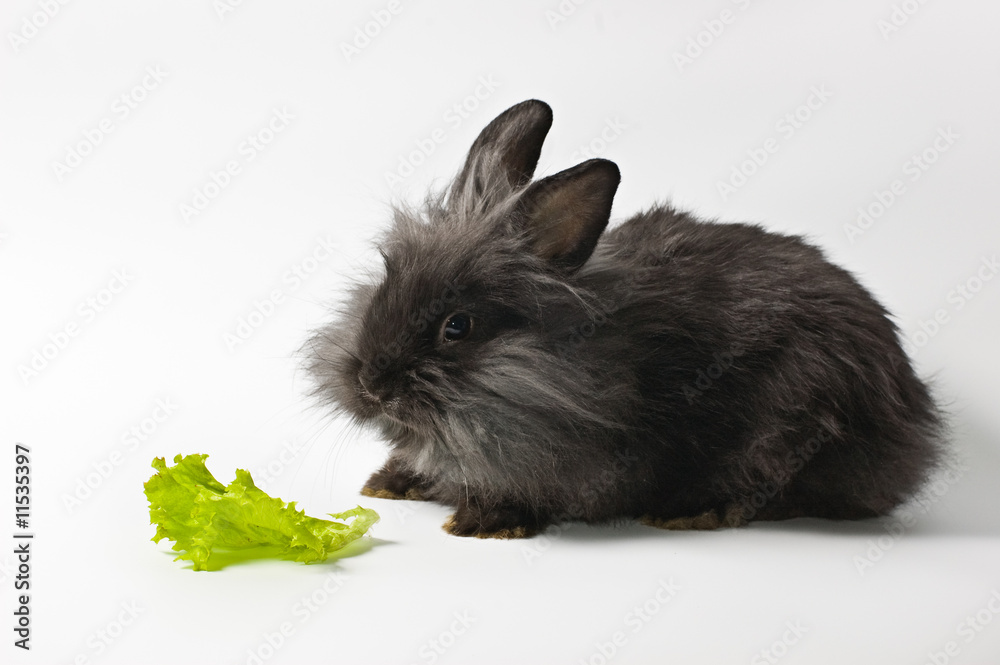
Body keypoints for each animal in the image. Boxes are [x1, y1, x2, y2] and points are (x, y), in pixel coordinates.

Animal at [305, 99, 945, 538]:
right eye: (384, 279)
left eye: (456, 327)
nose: (371, 385)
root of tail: (915, 411)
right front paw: (388, 484)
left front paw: (482, 522)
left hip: (799, 417)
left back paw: (691, 512)